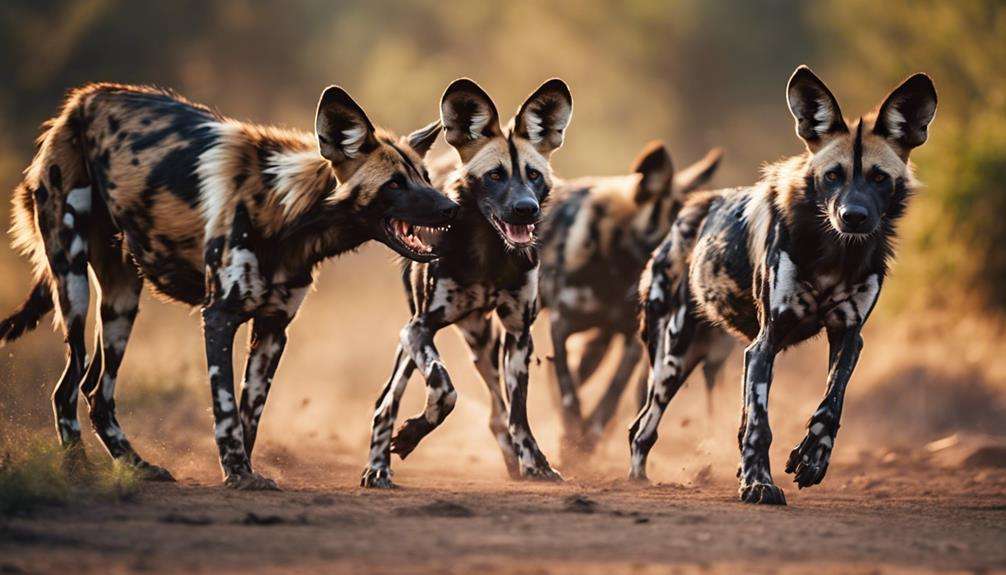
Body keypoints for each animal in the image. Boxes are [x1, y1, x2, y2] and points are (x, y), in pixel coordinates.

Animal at [1, 81, 458, 490]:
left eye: (425, 176)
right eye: (395, 184)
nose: (451, 207)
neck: (290, 218)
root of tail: (81, 99)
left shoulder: (273, 329)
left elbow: (248, 414)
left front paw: (245, 471)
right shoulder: (218, 316)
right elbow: (224, 409)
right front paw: (237, 474)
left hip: (121, 302)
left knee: (96, 391)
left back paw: (136, 466)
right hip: (75, 285)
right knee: (66, 390)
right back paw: (78, 471)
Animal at [366, 78, 575, 486]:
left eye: (534, 175)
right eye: (495, 176)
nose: (526, 209)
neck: (489, 255)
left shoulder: (518, 336)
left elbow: (518, 413)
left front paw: (535, 464)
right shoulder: (420, 329)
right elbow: (444, 389)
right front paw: (412, 434)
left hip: (483, 345)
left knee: (498, 412)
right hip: (412, 340)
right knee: (386, 401)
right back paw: (378, 467)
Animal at [539, 141, 736, 460]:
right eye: (682, 229)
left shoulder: (631, 341)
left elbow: (612, 394)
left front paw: (587, 438)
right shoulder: (561, 325)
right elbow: (569, 391)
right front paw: (574, 437)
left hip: (601, 343)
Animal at [631, 66, 937, 502]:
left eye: (879, 178)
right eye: (832, 176)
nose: (853, 216)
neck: (836, 254)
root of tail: (686, 213)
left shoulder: (848, 337)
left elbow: (830, 406)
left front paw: (812, 459)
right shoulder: (765, 344)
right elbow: (760, 425)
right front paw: (759, 482)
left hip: (702, 358)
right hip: (671, 361)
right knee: (642, 428)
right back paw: (639, 478)